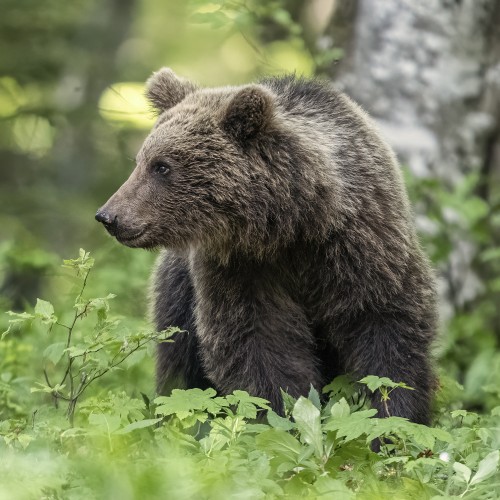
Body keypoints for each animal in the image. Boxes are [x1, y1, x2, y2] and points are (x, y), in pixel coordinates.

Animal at [94, 68, 438, 424]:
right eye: (140, 161)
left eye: (161, 166)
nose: (109, 216)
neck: (291, 227)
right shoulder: (241, 268)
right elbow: (257, 340)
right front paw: (283, 414)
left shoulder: (361, 245)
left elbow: (386, 328)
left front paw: (393, 417)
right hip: (178, 292)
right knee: (180, 368)